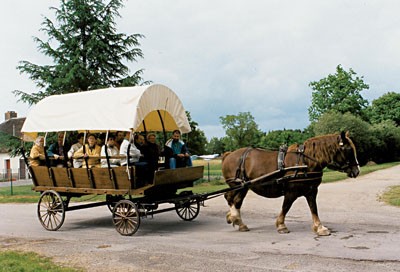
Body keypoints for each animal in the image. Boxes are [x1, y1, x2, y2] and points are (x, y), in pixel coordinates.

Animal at [222, 131, 360, 235]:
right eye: (348, 150)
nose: (357, 171)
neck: (305, 162)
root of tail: (228, 155)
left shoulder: (311, 191)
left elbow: (314, 208)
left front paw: (320, 227)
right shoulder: (291, 192)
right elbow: (286, 207)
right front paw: (281, 226)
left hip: (243, 187)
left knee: (235, 201)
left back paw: (237, 221)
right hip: (238, 186)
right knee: (232, 199)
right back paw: (235, 218)